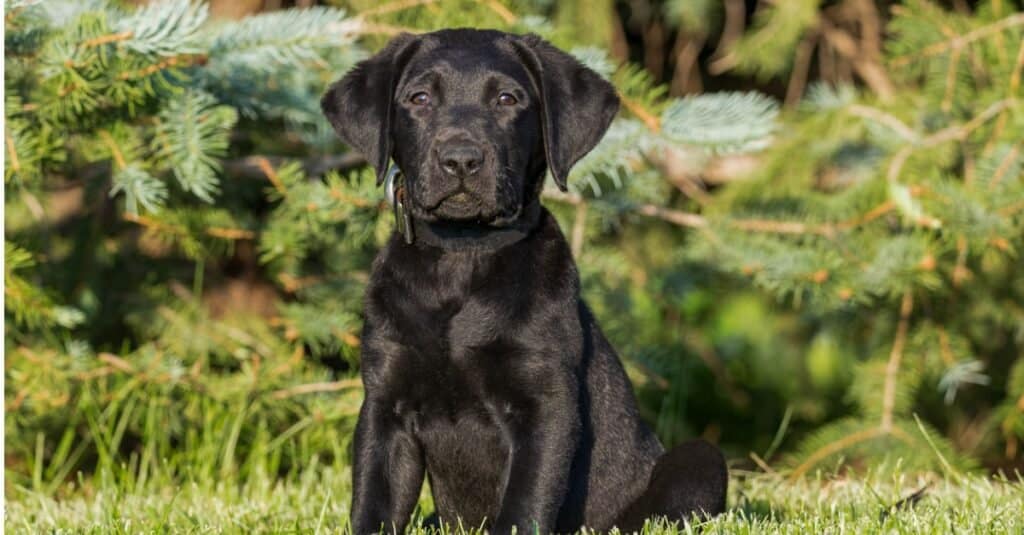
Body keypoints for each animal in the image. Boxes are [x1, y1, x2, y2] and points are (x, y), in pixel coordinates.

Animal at [321, 30, 729, 532]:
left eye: (507, 99)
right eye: (419, 99)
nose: (461, 160)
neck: (463, 255)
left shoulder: (545, 406)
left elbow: (523, 506)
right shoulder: (385, 406)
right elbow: (373, 505)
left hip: (700, 461)